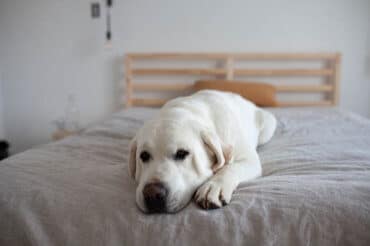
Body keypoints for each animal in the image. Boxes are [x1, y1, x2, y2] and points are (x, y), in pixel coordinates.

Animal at [129, 89, 276, 212]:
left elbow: (230, 167)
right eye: (144, 156)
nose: (152, 194)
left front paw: (214, 186)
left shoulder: (249, 159)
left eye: (182, 153)